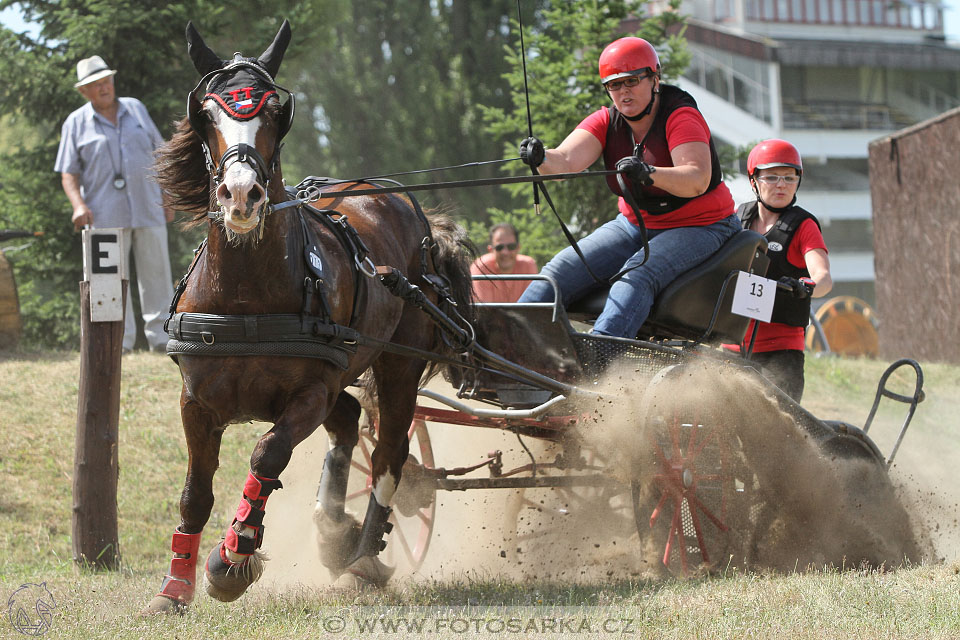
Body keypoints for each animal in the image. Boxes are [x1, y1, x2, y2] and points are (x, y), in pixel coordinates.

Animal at [142, 18, 472, 608]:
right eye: (205, 113)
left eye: (277, 113)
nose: (241, 195)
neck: (246, 298)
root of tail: (399, 201)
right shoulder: (195, 401)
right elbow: (194, 494)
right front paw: (174, 588)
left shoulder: (308, 395)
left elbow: (267, 456)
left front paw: (233, 557)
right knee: (349, 421)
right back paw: (334, 529)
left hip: (397, 363)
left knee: (387, 453)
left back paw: (363, 551)